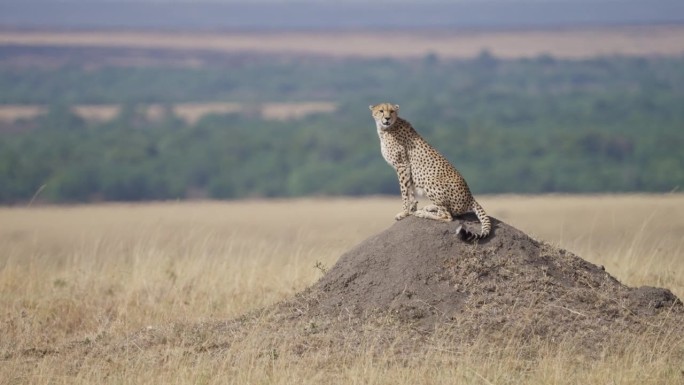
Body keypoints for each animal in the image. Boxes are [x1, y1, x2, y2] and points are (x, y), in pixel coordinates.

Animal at [368, 102, 492, 240]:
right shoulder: (406, 168)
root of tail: (471, 196)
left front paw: (404, 212)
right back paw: (429, 207)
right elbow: (410, 190)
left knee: (448, 216)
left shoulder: (402, 165)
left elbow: (404, 191)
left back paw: (423, 213)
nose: (387, 118)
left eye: (392, 111)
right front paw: (412, 208)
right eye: (381, 111)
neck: (386, 129)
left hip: (430, 181)